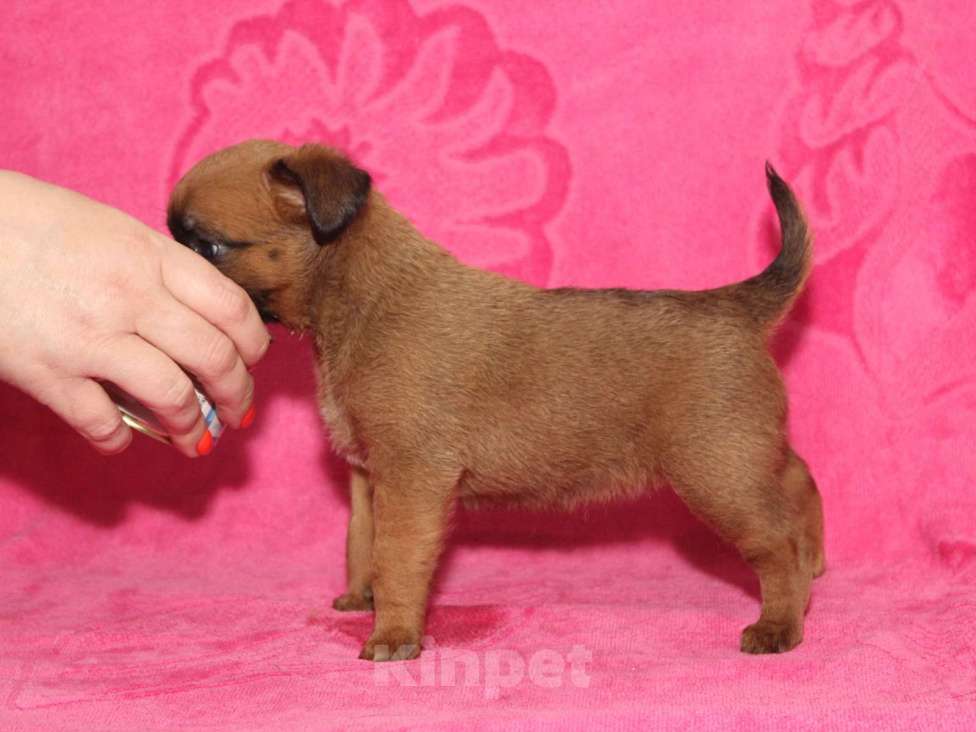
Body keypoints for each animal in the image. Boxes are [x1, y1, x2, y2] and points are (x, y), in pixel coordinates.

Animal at [170, 140, 824, 660]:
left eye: (207, 247)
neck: (361, 295)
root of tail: (734, 305)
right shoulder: (368, 475)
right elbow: (362, 542)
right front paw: (362, 598)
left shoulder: (411, 478)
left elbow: (398, 556)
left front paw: (392, 635)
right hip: (744, 456)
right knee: (797, 478)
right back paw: (815, 562)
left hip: (717, 474)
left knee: (776, 542)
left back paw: (780, 622)